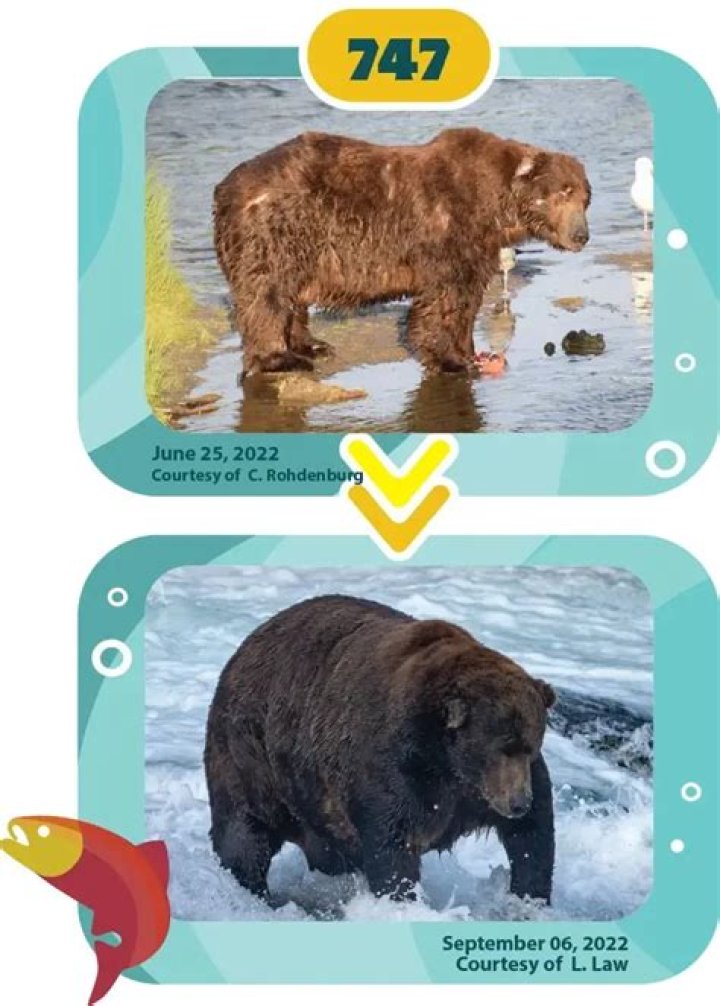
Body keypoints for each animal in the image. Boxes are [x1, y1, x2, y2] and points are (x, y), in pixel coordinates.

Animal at [204, 594, 556, 904]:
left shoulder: (480, 791)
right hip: (251, 755)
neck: (447, 761)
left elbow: (533, 836)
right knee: (245, 832)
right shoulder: (398, 769)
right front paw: (401, 898)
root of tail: (244, 646)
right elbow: (392, 844)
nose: (518, 802)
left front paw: (528, 897)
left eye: (529, 746)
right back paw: (252, 888)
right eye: (501, 747)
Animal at [213, 128, 590, 377]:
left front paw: (469, 352)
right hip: (278, 228)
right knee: (268, 293)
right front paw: (452, 359)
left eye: (584, 197)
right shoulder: (451, 226)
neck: (499, 204)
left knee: (290, 294)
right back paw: (281, 357)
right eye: (562, 192)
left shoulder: (481, 242)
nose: (581, 235)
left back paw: (311, 345)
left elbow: (467, 298)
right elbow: (447, 295)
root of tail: (225, 187)